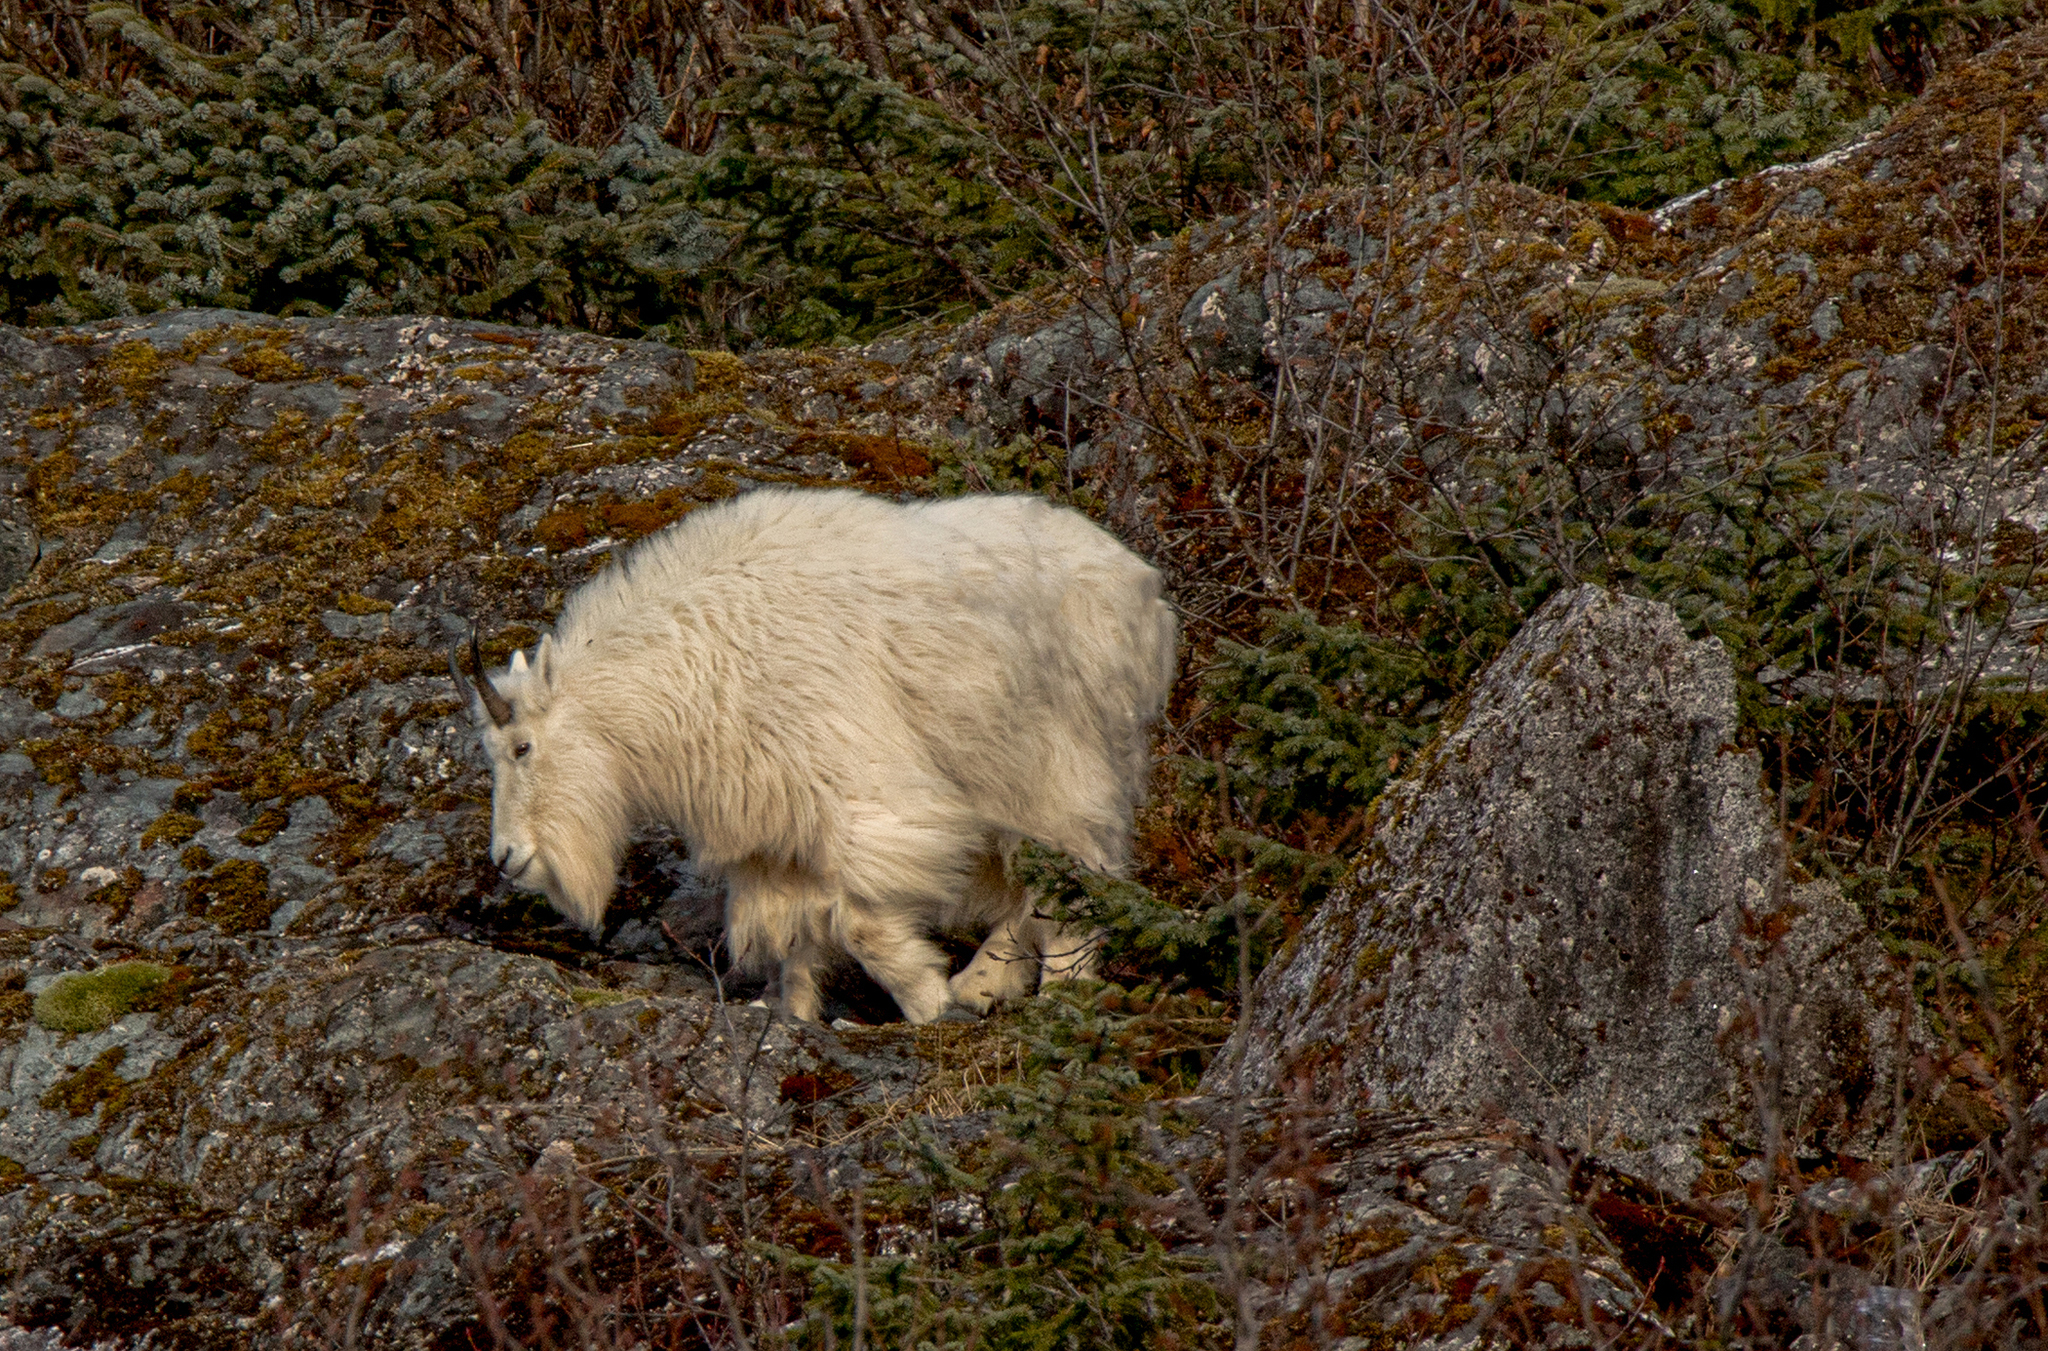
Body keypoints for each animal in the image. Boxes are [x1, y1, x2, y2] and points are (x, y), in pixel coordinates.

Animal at [451, 488, 1176, 1023]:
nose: (507, 858)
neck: (695, 661)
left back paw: (1060, 990)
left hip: (1065, 766)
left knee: (1076, 875)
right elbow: (791, 938)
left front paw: (928, 1003)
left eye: (522, 746)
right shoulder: (772, 836)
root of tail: (1141, 585)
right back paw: (985, 984)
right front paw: (792, 1018)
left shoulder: (863, 797)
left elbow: (861, 922)